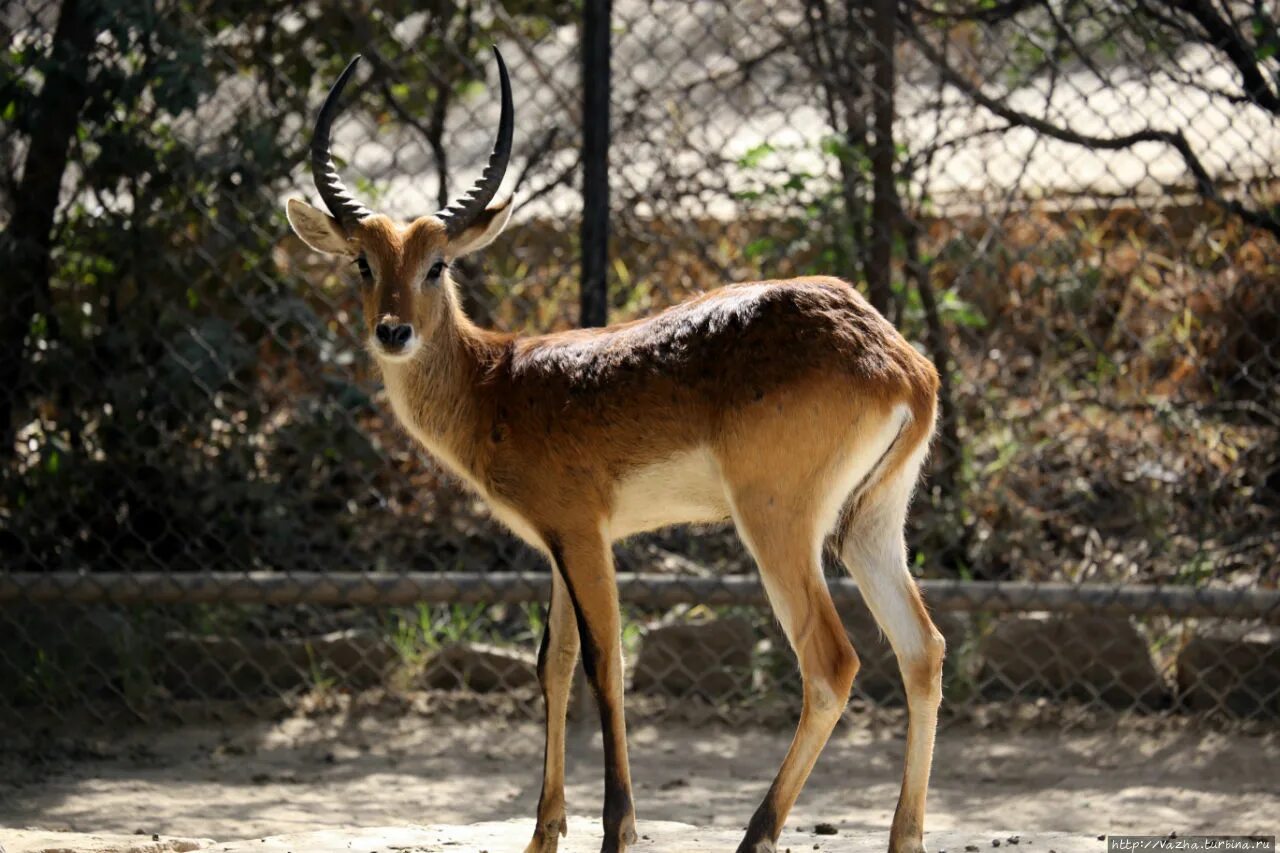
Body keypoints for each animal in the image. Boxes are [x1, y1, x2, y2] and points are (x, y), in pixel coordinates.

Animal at [290, 46, 947, 850]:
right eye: (362, 262)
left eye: (437, 263)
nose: (393, 331)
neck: (499, 382)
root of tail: (899, 360)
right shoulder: (556, 544)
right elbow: (555, 661)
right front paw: (543, 832)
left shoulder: (583, 533)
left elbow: (606, 660)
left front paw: (617, 829)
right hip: (869, 525)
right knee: (921, 651)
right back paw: (902, 835)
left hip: (780, 525)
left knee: (830, 660)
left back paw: (755, 833)